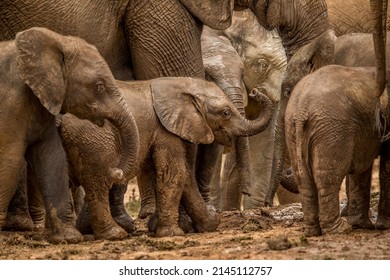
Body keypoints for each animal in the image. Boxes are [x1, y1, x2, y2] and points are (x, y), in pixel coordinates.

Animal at [58, 77, 274, 240]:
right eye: (226, 113)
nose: (256, 92)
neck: (182, 85)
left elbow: (183, 176)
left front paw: (210, 223)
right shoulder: (165, 130)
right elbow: (174, 173)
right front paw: (172, 234)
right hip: (94, 139)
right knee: (98, 184)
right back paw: (114, 235)